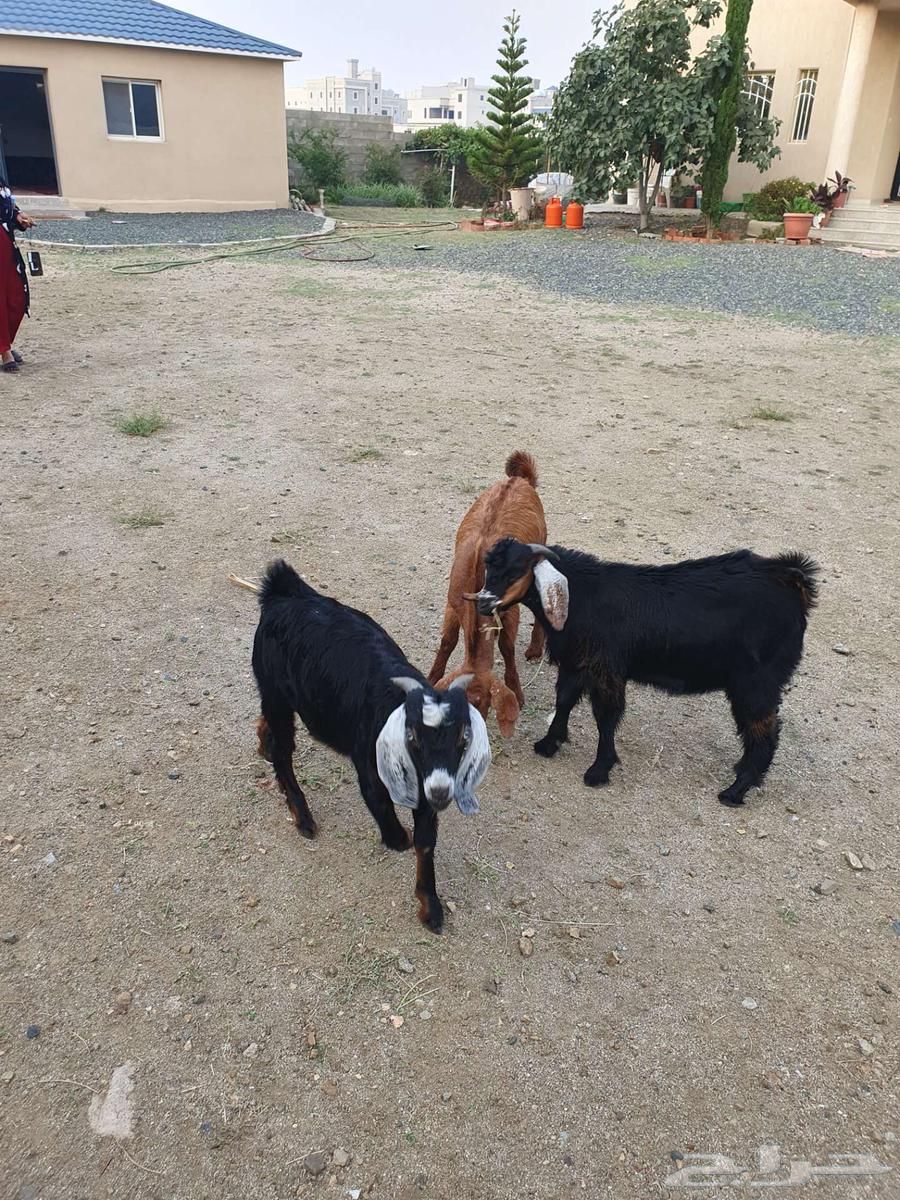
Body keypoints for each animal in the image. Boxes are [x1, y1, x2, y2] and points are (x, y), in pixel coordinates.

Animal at [248, 561, 491, 931]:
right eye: (412, 737)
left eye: (463, 738)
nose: (441, 792)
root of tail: (284, 591)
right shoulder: (371, 775)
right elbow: (394, 827)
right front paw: (401, 840)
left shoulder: (426, 794)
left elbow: (425, 843)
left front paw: (430, 908)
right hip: (277, 692)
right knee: (283, 752)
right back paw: (302, 815)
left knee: (271, 731)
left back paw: (263, 742)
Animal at [428, 451, 546, 737]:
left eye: (483, 702)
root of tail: (520, 479)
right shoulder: (453, 602)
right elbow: (447, 641)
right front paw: (431, 678)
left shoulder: (509, 609)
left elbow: (506, 646)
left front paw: (517, 691)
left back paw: (535, 648)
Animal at [477, 539, 819, 806]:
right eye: (488, 568)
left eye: (514, 571)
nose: (481, 603)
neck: (582, 596)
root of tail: (793, 581)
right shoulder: (576, 662)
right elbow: (564, 701)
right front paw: (549, 744)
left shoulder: (606, 669)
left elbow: (606, 717)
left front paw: (599, 770)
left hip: (756, 682)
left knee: (763, 730)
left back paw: (735, 791)